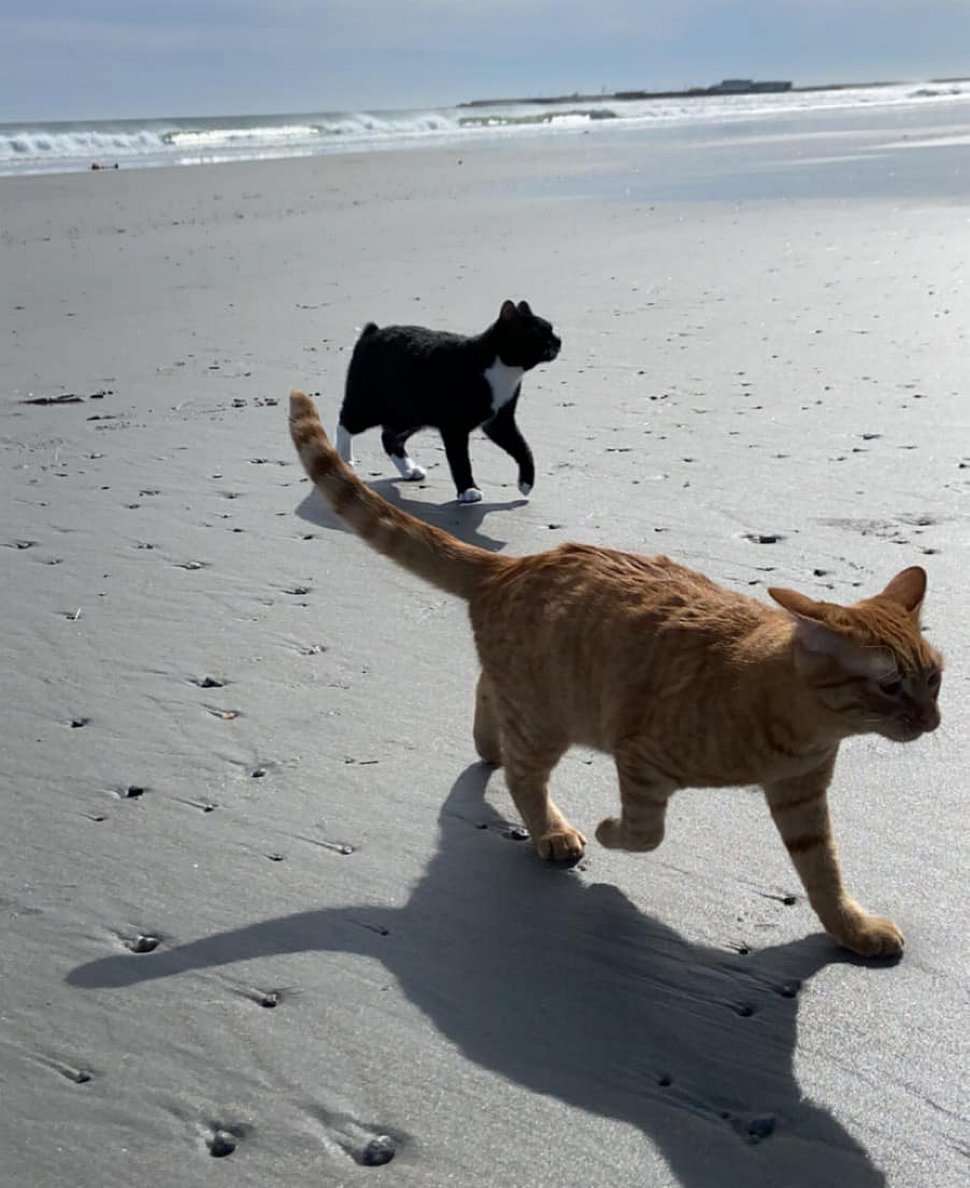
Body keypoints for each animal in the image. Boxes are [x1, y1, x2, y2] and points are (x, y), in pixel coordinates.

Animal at [291, 389, 941, 955]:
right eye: (890, 687)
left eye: (935, 677)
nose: (933, 723)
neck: (804, 727)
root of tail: (514, 563)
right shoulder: (642, 757)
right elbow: (647, 832)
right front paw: (609, 832)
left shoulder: (802, 797)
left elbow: (824, 873)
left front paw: (852, 930)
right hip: (546, 720)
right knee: (523, 775)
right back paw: (551, 830)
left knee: (488, 697)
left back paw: (487, 744)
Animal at [337, 301, 561, 501]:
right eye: (541, 335)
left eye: (552, 330)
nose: (559, 340)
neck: (503, 368)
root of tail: (372, 332)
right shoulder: (455, 427)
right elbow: (460, 460)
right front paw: (468, 490)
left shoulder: (500, 421)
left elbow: (523, 449)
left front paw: (526, 483)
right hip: (369, 406)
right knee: (345, 423)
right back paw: (344, 461)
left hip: (409, 414)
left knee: (389, 437)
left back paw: (409, 470)